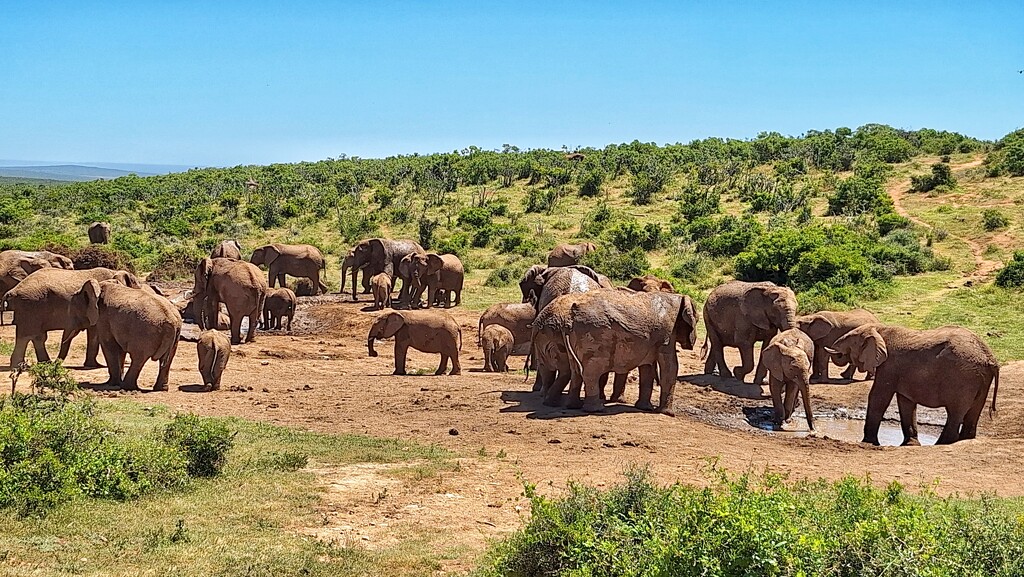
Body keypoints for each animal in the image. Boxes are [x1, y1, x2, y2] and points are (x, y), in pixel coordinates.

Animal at [5, 268, 140, 368]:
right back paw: (21, 366)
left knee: (36, 336)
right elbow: (94, 333)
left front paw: (93, 365)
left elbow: (93, 333)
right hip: (30, 306)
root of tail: (12, 291)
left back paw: (44, 363)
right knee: (26, 336)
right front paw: (95, 366)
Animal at [561, 291, 696, 414]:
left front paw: (645, 408)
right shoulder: (667, 334)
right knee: (591, 373)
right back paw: (597, 409)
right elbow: (670, 367)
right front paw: (667, 413)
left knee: (576, 371)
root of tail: (572, 316)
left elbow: (647, 368)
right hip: (594, 336)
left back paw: (574, 406)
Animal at [823, 325, 999, 446]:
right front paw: (910, 444)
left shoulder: (889, 366)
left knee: (956, 412)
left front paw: (868, 443)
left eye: (850, 339)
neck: (880, 329)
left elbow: (878, 397)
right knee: (974, 410)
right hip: (980, 379)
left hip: (963, 377)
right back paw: (963, 440)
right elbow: (905, 402)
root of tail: (990, 358)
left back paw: (941, 443)